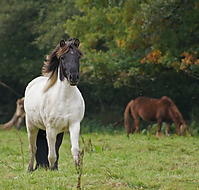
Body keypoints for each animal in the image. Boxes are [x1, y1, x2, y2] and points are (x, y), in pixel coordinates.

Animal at [24, 38, 84, 171]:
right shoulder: (50, 129)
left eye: (78, 57)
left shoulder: (74, 125)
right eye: (62, 58)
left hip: (58, 131)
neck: (65, 99)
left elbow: (74, 150)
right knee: (32, 148)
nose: (73, 77)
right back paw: (30, 168)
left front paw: (77, 170)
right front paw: (51, 170)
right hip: (31, 126)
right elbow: (51, 155)